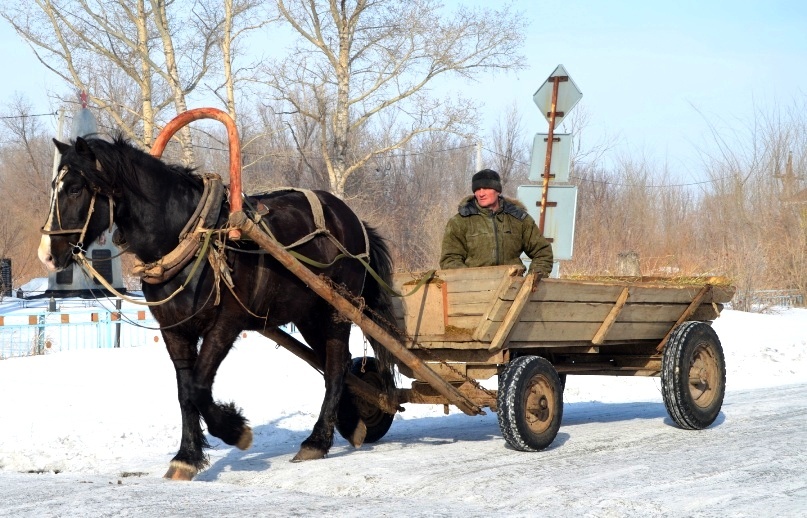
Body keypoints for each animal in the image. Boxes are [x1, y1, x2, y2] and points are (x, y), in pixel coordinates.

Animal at [37, 135, 396, 481]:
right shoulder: (173, 329)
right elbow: (185, 392)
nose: (47, 255)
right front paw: (186, 457)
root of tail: (350, 217)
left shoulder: (225, 324)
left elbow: (198, 387)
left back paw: (317, 440)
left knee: (335, 366)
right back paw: (351, 423)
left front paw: (234, 430)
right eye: (54, 187)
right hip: (307, 314)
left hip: (337, 309)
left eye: (75, 188)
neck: (188, 238)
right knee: (339, 363)